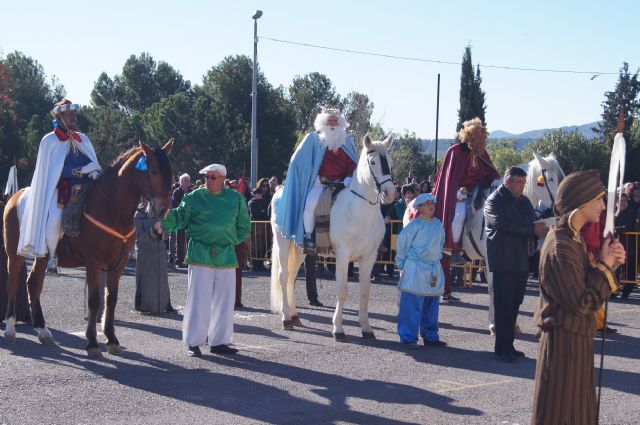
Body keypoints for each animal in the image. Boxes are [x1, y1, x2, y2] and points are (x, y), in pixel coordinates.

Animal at [1, 140, 172, 358]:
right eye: (154, 171)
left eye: (170, 172)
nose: (163, 209)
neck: (110, 207)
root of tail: (16, 196)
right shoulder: (93, 262)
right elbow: (94, 300)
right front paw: (92, 343)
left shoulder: (119, 263)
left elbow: (111, 299)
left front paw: (112, 340)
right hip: (14, 253)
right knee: (13, 283)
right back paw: (10, 328)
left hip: (43, 255)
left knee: (33, 284)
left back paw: (43, 331)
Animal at [270, 134, 396, 340]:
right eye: (372, 162)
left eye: (390, 162)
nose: (391, 193)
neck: (359, 211)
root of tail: (279, 191)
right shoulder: (343, 256)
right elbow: (342, 290)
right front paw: (338, 329)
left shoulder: (369, 257)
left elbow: (365, 291)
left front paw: (366, 328)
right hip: (284, 243)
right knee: (283, 276)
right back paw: (286, 319)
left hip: (300, 249)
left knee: (292, 277)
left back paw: (295, 316)